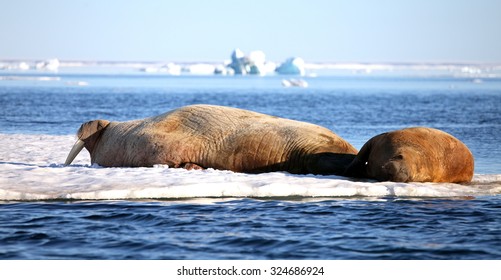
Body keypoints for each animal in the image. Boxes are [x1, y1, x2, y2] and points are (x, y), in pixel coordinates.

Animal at [344, 127, 472, 184]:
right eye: (400, 157)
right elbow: (360, 156)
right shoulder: (379, 139)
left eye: (410, 176)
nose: (396, 172)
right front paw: (348, 172)